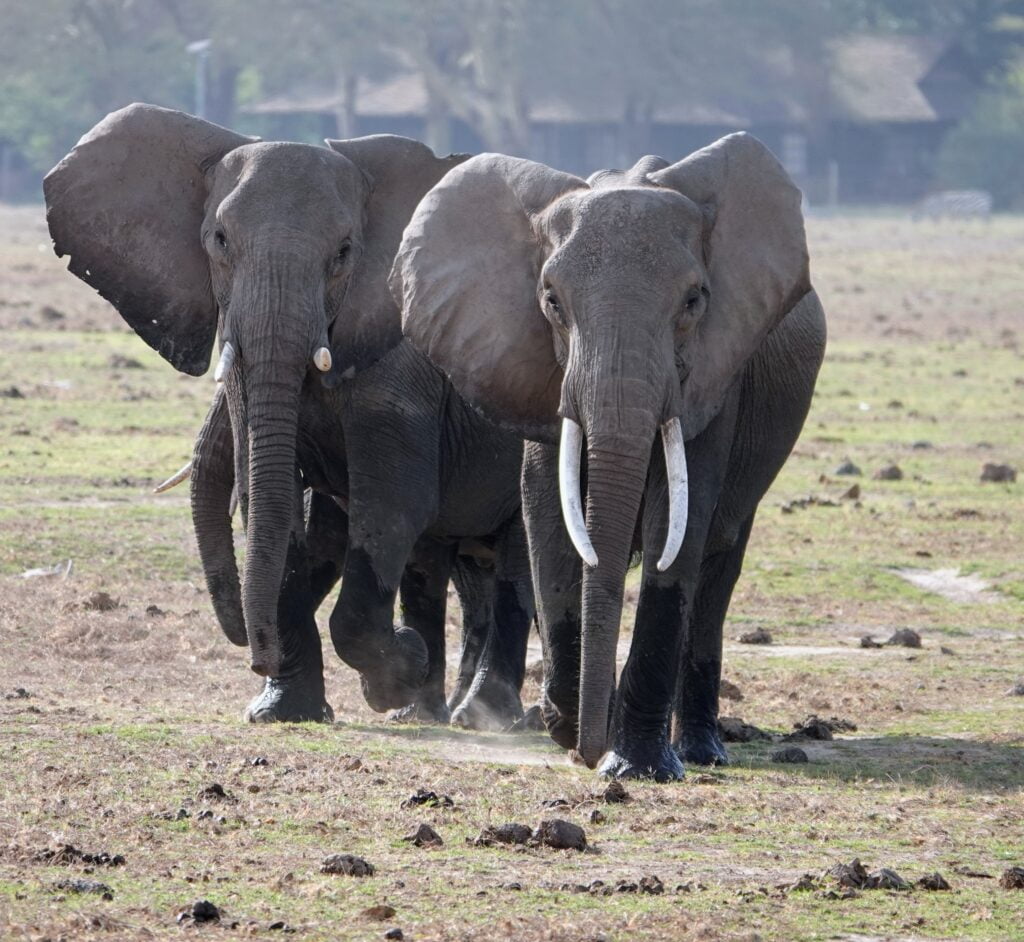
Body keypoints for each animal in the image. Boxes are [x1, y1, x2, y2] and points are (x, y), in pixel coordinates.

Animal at [44, 104, 532, 729]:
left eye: (344, 253)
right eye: (219, 240)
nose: (253, 653)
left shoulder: (402, 375)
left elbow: (391, 507)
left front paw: (396, 672)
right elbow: (285, 513)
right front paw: (283, 712)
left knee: (520, 566)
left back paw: (488, 716)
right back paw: (430, 713)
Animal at [395, 132, 827, 778]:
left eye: (694, 301)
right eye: (551, 301)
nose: (586, 747)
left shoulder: (715, 372)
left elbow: (679, 528)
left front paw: (635, 767)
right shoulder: (533, 370)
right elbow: (548, 515)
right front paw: (566, 723)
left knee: (717, 571)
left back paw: (699, 751)